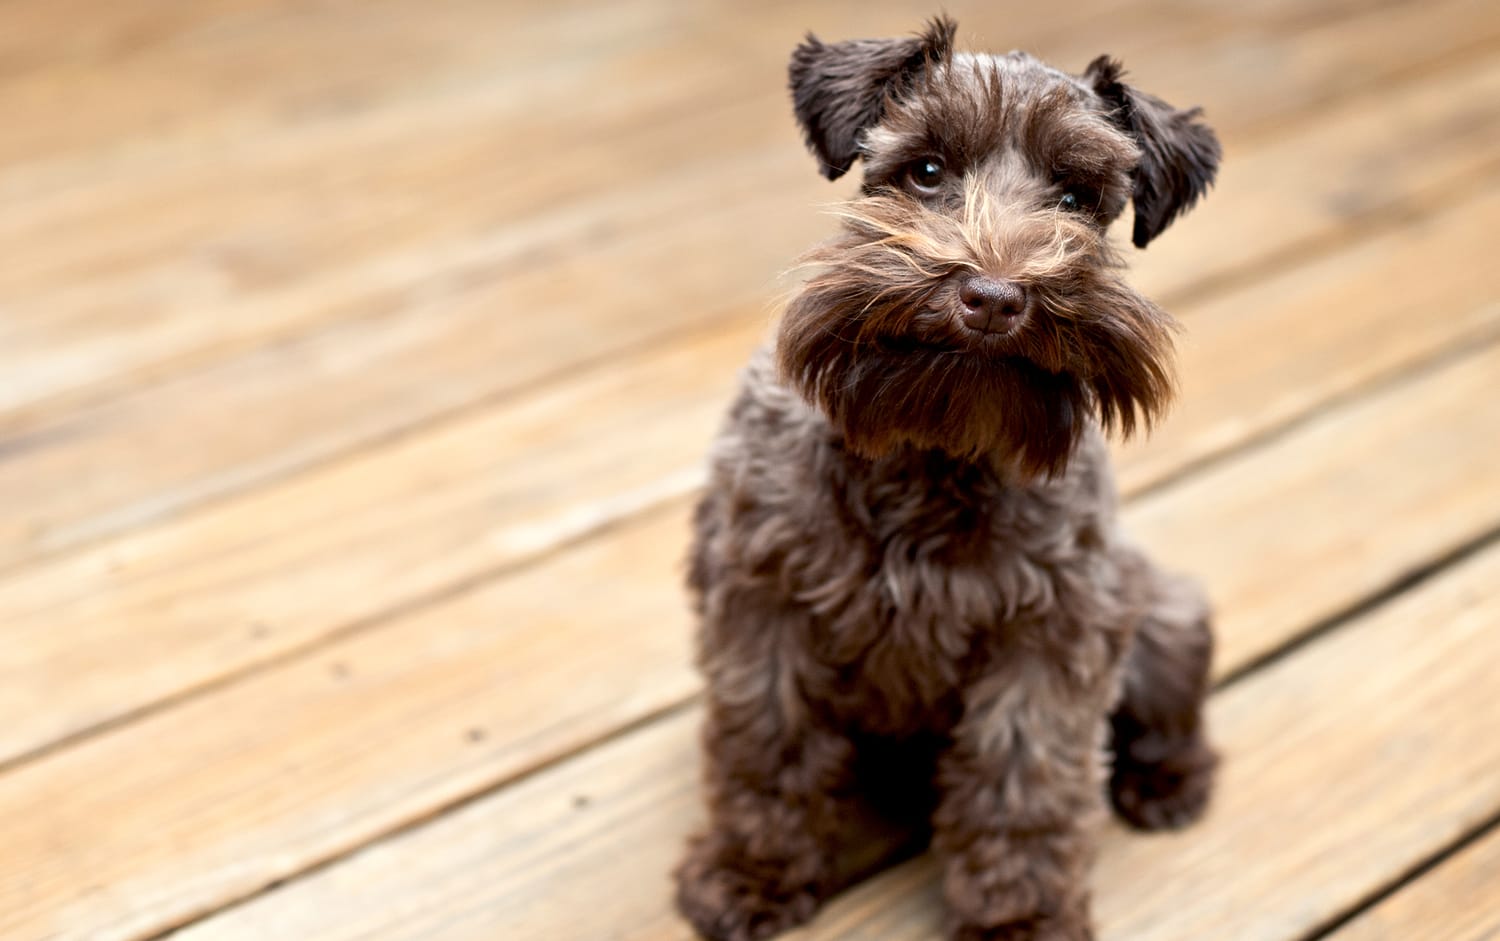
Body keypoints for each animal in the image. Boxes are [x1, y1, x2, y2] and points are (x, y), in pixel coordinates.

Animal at [678, 16, 1218, 941]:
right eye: (926, 170)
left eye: (1076, 198)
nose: (995, 297)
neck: (931, 447)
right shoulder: (760, 598)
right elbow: (767, 746)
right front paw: (751, 871)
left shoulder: (1052, 634)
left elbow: (1023, 783)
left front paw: (1022, 916)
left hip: (1159, 614)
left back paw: (1166, 782)